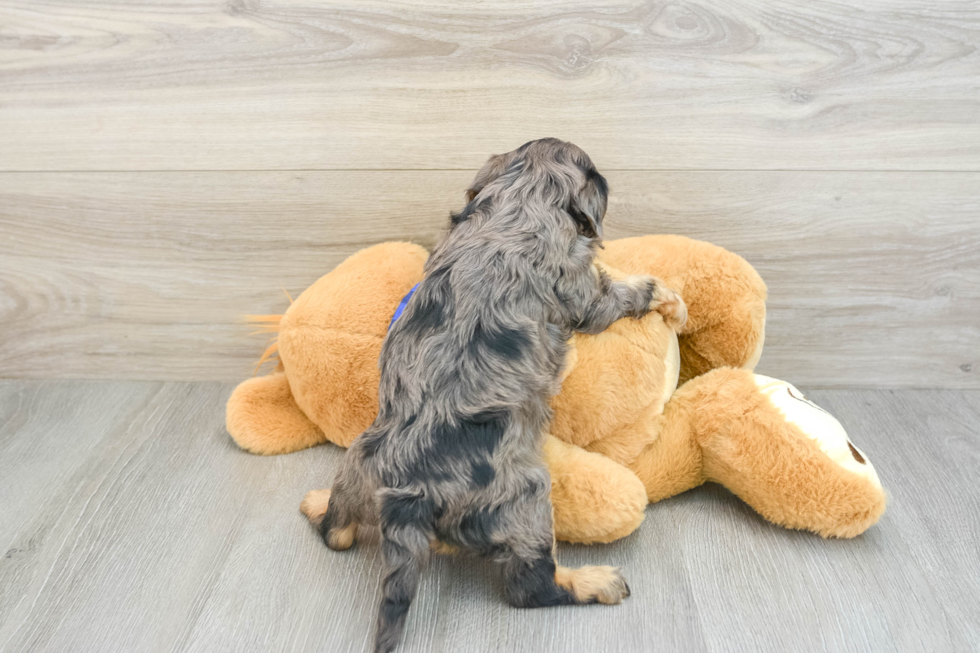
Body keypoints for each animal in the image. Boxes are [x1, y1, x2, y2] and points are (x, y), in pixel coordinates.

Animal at [302, 138, 684, 652]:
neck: (518, 199)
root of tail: (409, 496)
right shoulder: (582, 292)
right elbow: (620, 292)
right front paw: (664, 296)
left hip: (360, 461)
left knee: (337, 533)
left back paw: (318, 502)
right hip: (526, 500)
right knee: (531, 588)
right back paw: (596, 582)